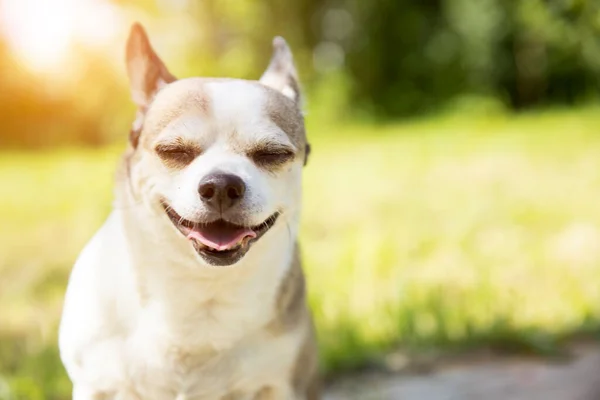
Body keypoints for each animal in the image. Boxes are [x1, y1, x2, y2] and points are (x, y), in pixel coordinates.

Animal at [58, 23, 318, 398]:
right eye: (173, 151)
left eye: (272, 154)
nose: (222, 184)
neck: (200, 284)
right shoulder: (96, 385)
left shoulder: (283, 384)